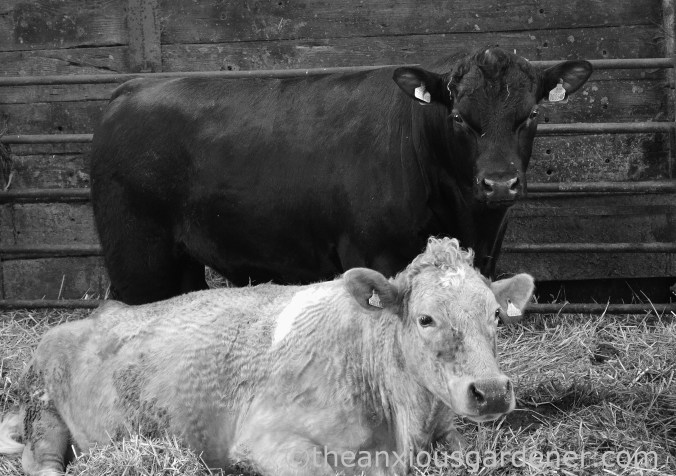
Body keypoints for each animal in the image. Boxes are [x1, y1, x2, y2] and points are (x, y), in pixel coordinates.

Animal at [0, 238, 534, 476]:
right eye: (425, 319)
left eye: (496, 315)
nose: (490, 391)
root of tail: (94, 315)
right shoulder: (266, 439)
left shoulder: (444, 432)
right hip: (43, 413)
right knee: (45, 463)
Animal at [90, 47, 591, 305]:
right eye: (460, 119)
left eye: (530, 115)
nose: (499, 182)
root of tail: (130, 89)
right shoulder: (374, 254)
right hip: (137, 258)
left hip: (180, 264)